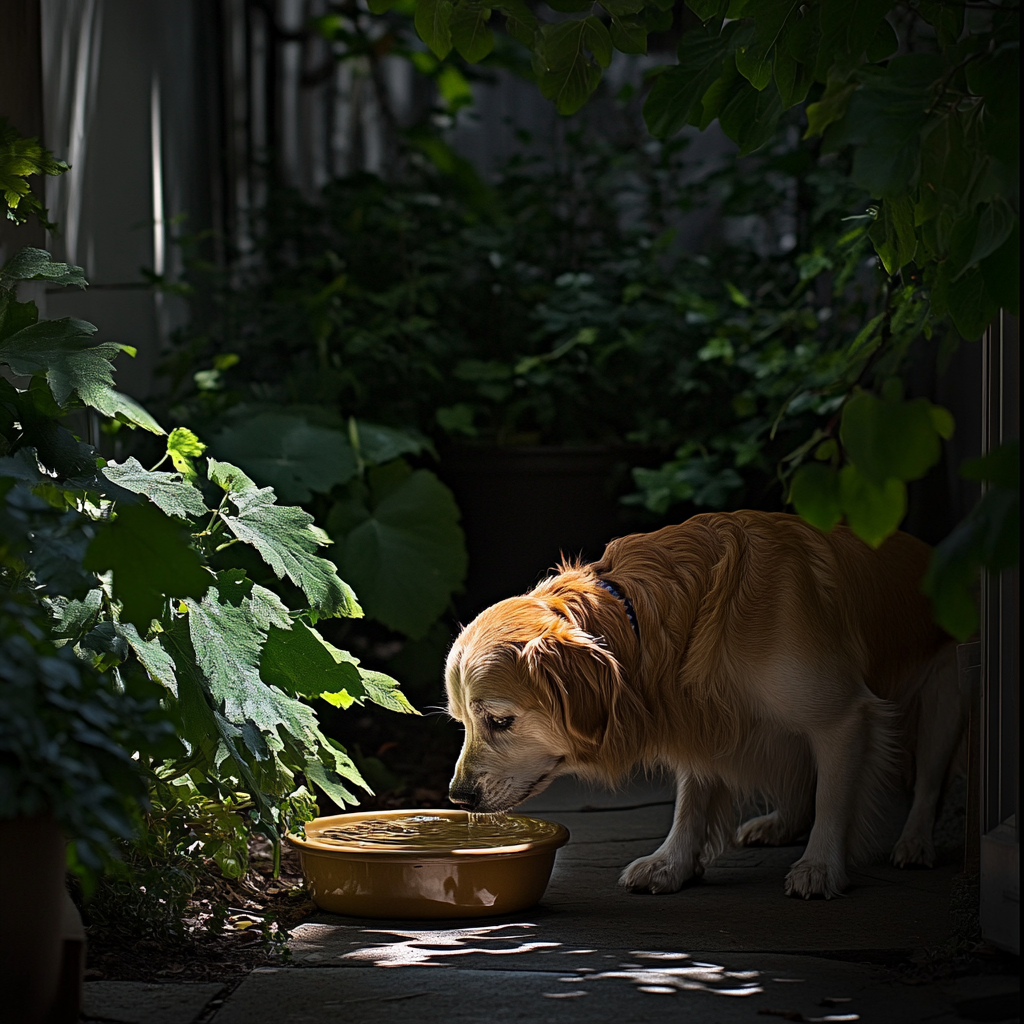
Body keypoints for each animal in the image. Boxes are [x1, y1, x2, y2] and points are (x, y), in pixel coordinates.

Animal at [444, 509, 962, 897]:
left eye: (500, 721)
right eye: (462, 722)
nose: (458, 797)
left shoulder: (844, 717)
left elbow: (834, 797)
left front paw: (821, 867)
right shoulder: (700, 716)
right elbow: (693, 799)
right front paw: (672, 863)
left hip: (944, 697)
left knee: (929, 782)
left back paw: (915, 843)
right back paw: (779, 825)